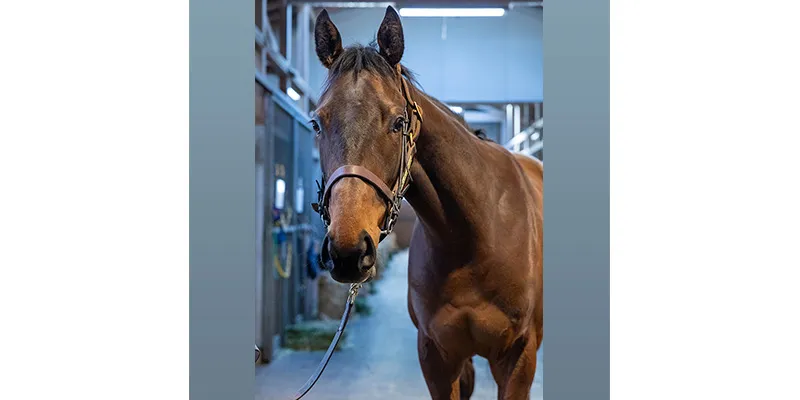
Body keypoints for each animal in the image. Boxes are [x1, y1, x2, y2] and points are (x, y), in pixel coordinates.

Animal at [311, 7, 543, 399]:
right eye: (316, 123)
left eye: (397, 122)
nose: (347, 250)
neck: (475, 236)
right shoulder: (436, 356)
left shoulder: (519, 358)